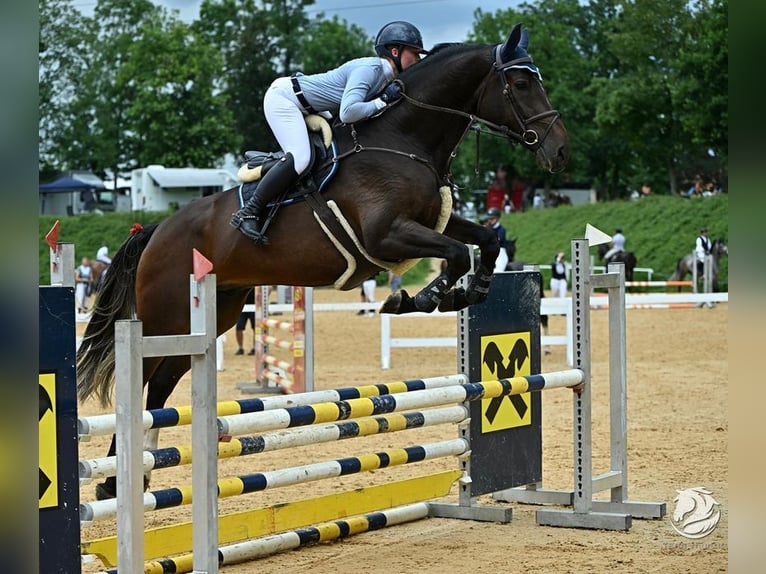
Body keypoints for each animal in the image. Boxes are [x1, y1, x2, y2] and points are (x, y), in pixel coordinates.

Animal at [78, 23, 568, 500]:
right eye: (521, 83)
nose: (560, 151)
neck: (404, 139)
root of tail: (156, 229)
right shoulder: (387, 234)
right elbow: (455, 254)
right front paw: (422, 298)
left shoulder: (435, 222)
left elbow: (482, 241)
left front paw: (471, 291)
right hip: (166, 317)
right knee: (142, 380)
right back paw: (112, 481)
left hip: (212, 315)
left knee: (162, 383)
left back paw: (141, 475)